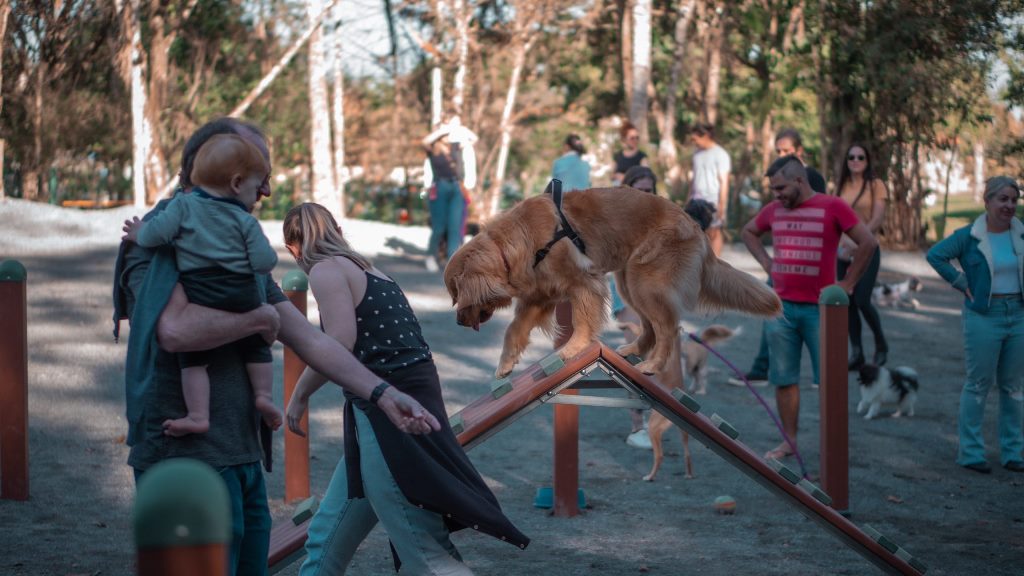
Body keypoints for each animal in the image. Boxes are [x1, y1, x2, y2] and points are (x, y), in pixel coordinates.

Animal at [440, 187, 774, 377]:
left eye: (458, 297)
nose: (457, 322)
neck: (516, 244)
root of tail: (695, 226)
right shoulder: (540, 297)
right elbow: (513, 330)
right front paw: (505, 365)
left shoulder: (584, 283)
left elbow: (582, 322)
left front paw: (572, 350)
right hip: (629, 283)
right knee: (651, 327)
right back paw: (632, 351)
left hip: (645, 283)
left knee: (668, 329)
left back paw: (652, 366)